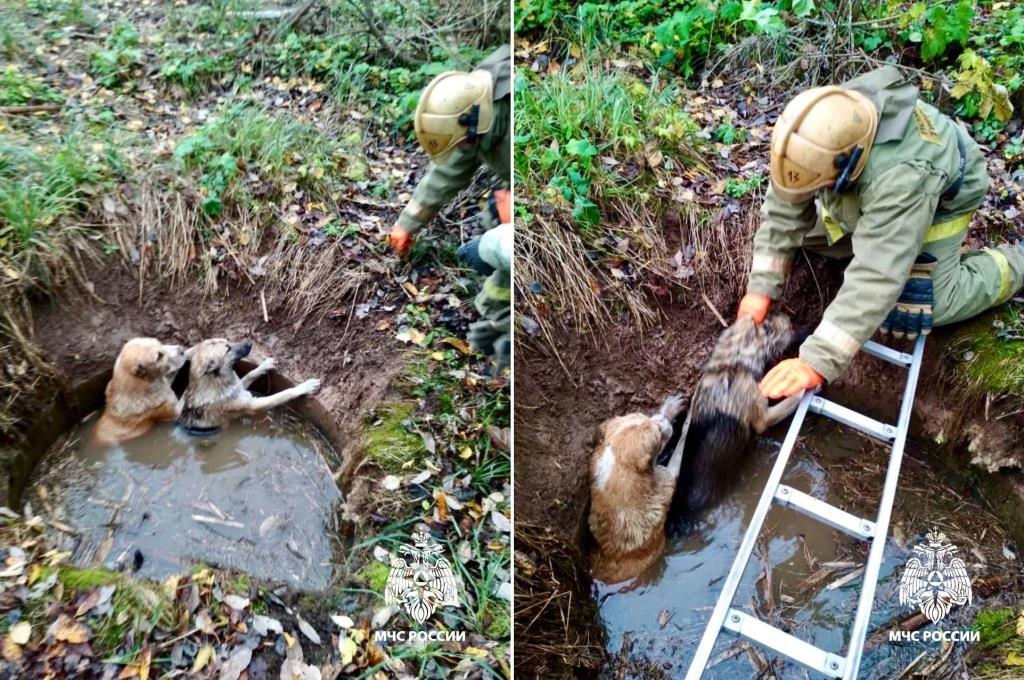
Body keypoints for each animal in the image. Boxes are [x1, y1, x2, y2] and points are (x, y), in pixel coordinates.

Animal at [177, 337, 319, 432]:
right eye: (227, 349)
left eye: (228, 341)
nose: (250, 343)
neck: (216, 382)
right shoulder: (253, 405)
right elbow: (283, 394)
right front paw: (303, 387)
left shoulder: (241, 388)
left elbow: (250, 374)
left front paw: (264, 365)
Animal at [589, 393, 684, 585]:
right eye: (658, 434)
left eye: (644, 416)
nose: (663, 420)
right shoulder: (668, 476)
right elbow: (680, 447)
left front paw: (669, 409)